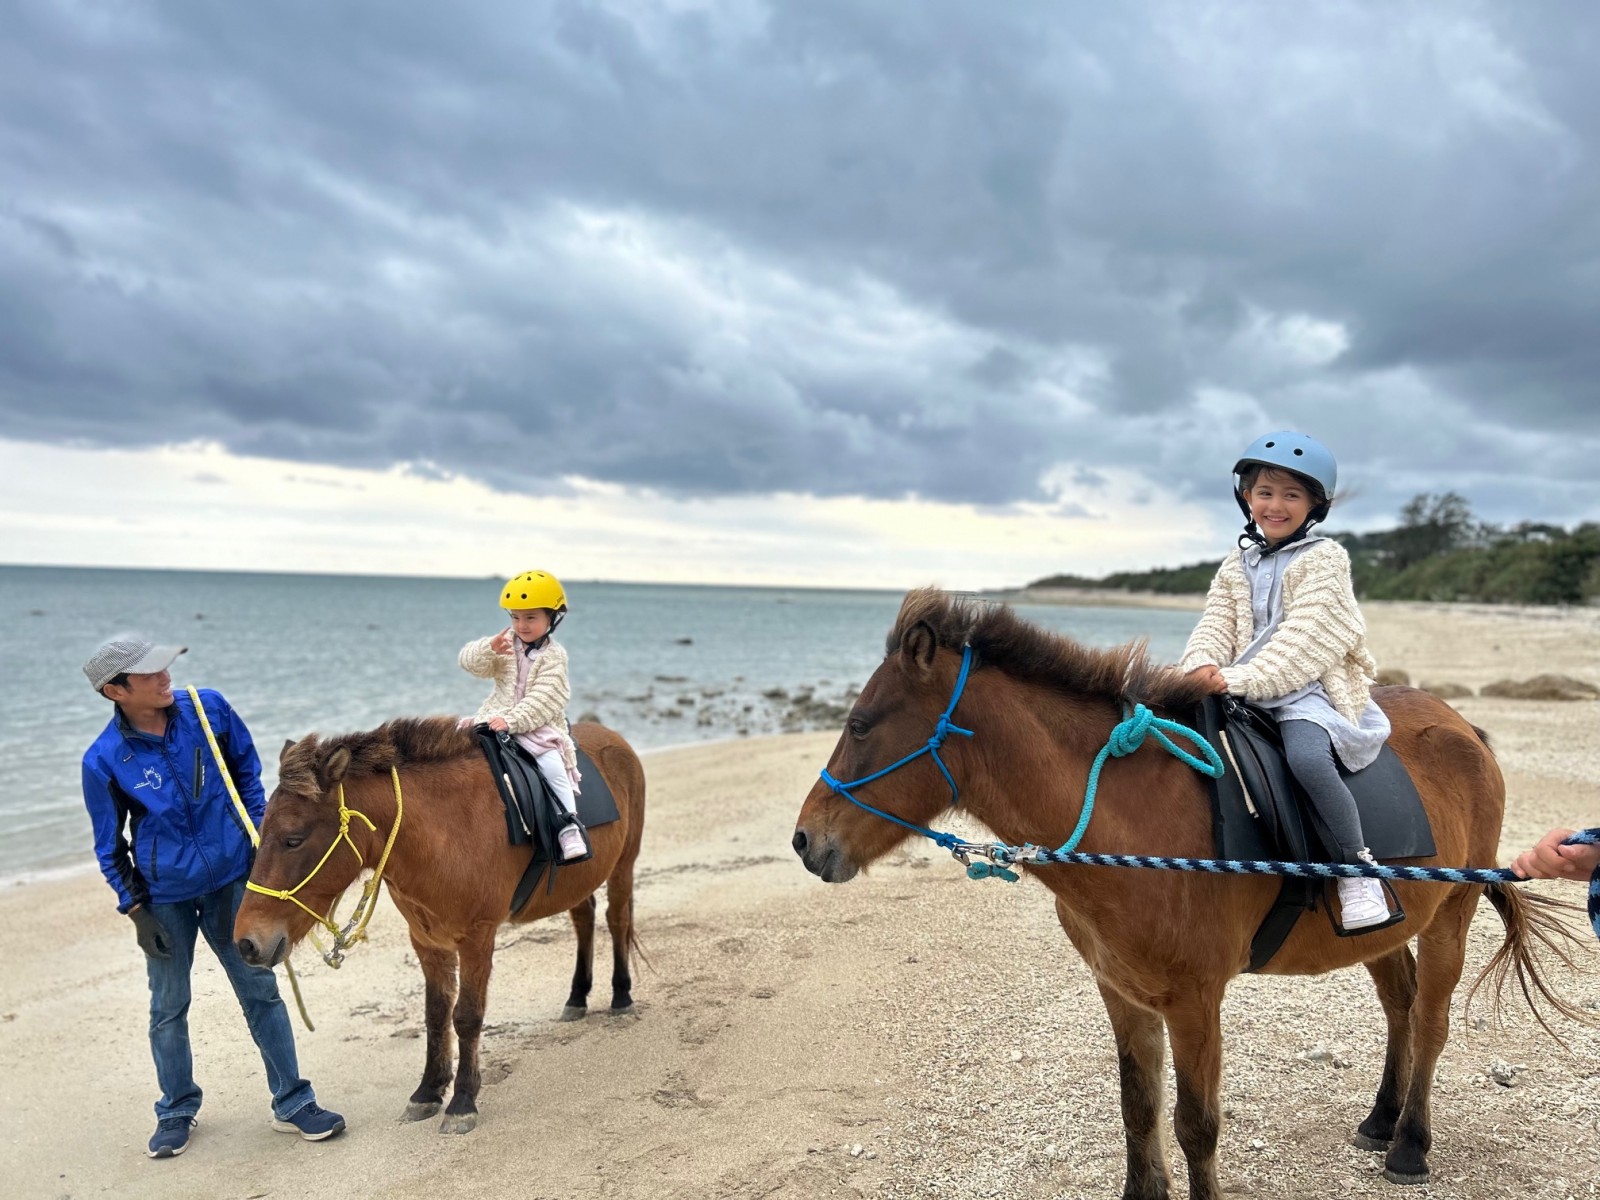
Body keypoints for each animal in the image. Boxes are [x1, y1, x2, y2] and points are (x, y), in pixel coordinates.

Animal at [233, 723, 643, 1139]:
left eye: (293, 840)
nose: (246, 942)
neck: (446, 832)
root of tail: (612, 736)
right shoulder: (428, 942)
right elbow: (435, 1015)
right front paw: (428, 1091)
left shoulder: (477, 939)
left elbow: (467, 1016)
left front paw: (462, 1100)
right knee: (584, 920)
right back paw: (577, 997)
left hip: (623, 866)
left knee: (617, 920)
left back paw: (621, 995)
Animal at [793, 595, 1580, 1200]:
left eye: (858, 725)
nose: (805, 841)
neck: (1132, 821)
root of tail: (1465, 729)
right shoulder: (1123, 992)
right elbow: (1138, 1108)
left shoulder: (1195, 1000)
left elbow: (1195, 1125)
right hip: (1381, 931)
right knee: (1401, 1005)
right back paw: (1382, 1119)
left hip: (1451, 915)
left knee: (1433, 1020)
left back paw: (1410, 1143)